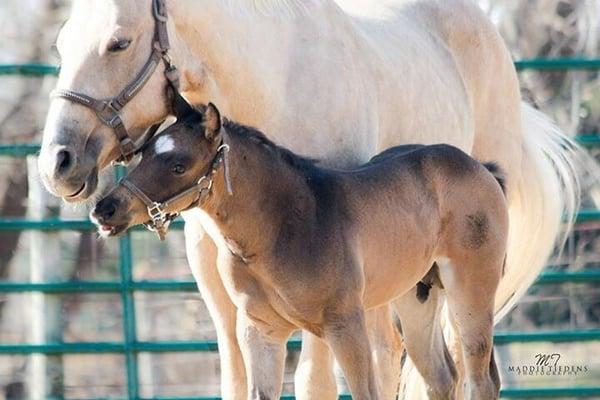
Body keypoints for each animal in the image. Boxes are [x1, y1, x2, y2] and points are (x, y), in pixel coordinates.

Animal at [91, 97, 508, 400]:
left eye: (179, 165)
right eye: (144, 154)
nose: (104, 209)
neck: (283, 226)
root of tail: (480, 168)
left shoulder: (345, 325)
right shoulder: (260, 332)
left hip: (471, 289)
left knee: (480, 378)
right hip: (417, 295)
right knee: (442, 377)